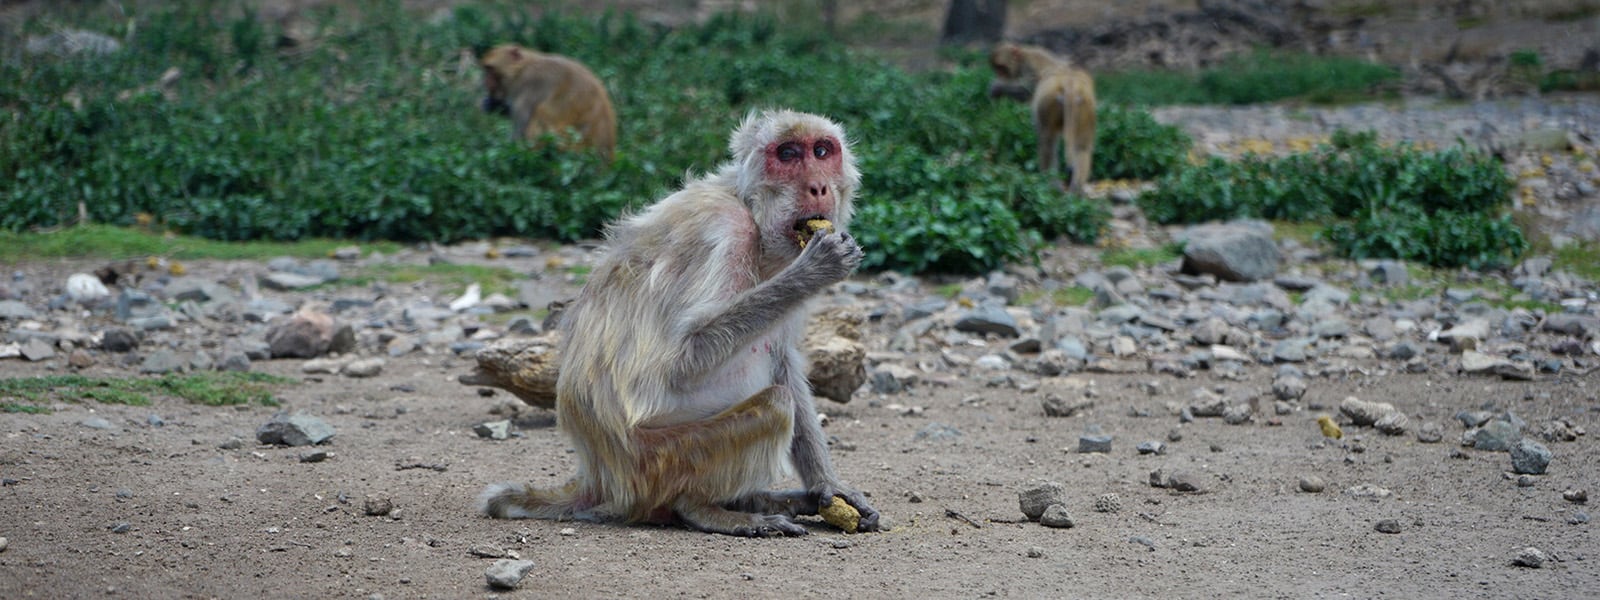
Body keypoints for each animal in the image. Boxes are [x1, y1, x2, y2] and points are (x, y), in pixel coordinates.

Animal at [476, 42, 614, 162]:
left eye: (490, 69)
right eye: (486, 69)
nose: (485, 81)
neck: (521, 69)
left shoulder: (529, 86)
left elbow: (519, 141)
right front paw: (491, 104)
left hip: (569, 147)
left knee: (540, 112)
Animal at [985, 41, 1100, 193]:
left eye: (1002, 69)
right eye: (997, 69)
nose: (1000, 76)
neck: (1023, 55)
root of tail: (1069, 83)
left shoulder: (1028, 67)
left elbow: (1026, 91)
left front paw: (997, 88)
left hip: (1049, 104)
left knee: (1047, 142)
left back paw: (1050, 184)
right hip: (1086, 107)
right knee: (1082, 147)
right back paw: (1076, 190)